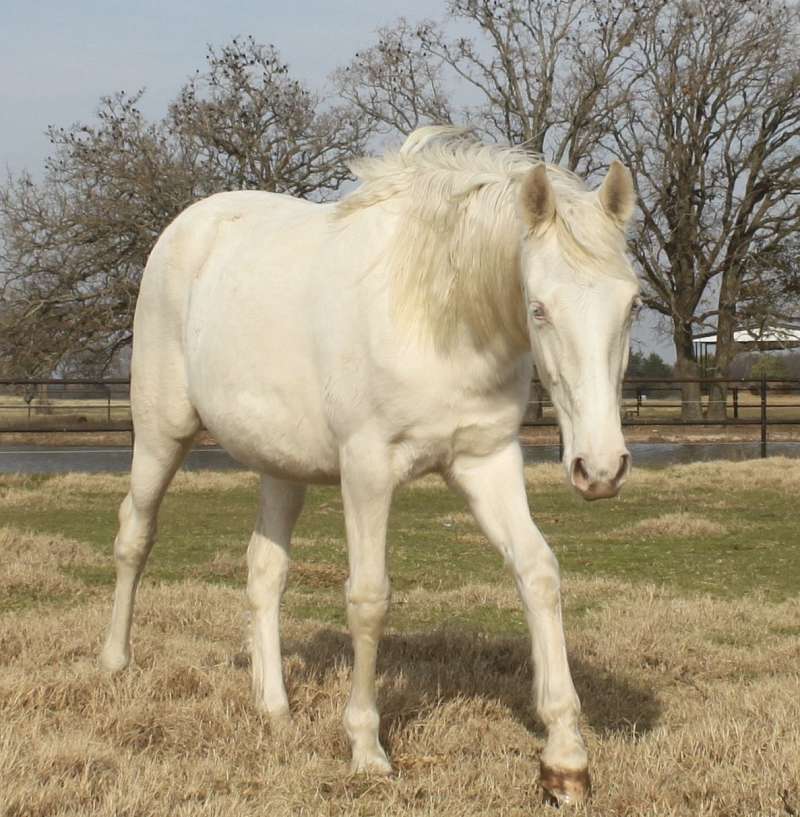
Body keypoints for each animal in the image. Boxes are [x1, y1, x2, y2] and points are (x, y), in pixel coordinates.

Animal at [100, 127, 640, 805]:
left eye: (633, 305)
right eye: (539, 308)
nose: (601, 468)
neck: (436, 318)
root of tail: (186, 228)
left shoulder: (485, 460)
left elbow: (538, 572)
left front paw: (565, 762)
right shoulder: (366, 470)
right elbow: (368, 598)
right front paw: (366, 749)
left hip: (281, 467)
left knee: (265, 572)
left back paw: (273, 707)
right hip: (160, 434)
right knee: (134, 535)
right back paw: (114, 664)